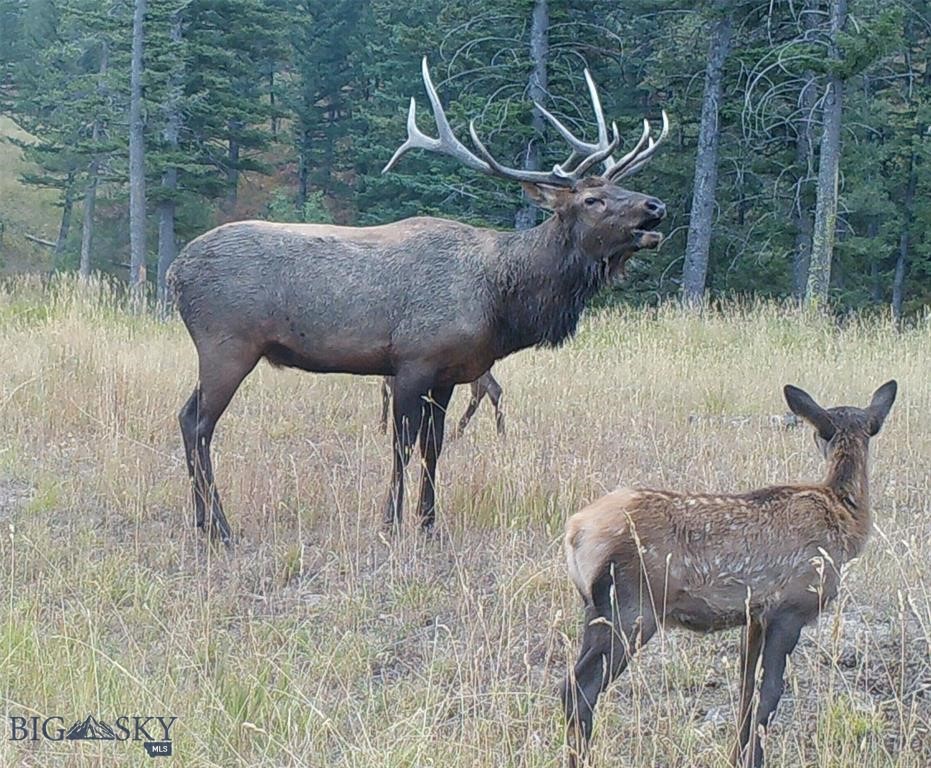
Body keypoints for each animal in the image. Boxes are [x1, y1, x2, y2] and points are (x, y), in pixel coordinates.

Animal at [168, 58, 668, 545]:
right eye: (592, 199)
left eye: (622, 188)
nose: (655, 206)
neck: (501, 299)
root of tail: (175, 271)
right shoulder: (413, 361)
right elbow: (402, 446)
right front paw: (390, 523)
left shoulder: (449, 373)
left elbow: (435, 446)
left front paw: (429, 524)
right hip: (227, 344)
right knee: (197, 422)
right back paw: (220, 529)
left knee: (190, 418)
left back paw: (204, 522)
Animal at [561, 380, 897, 768]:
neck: (843, 519)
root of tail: (575, 531)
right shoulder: (790, 608)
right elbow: (770, 692)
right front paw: (756, 758)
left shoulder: (755, 616)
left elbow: (746, 690)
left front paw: (739, 755)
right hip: (632, 608)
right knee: (577, 688)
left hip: (596, 611)